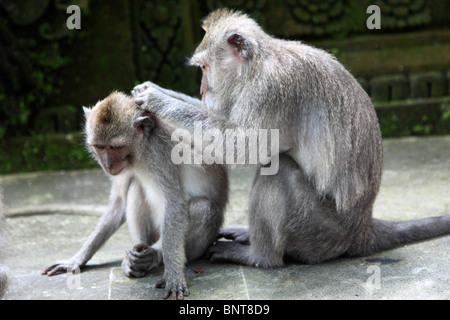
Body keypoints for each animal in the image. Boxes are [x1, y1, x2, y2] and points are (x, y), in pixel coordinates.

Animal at [41, 90, 229, 300]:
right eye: (100, 146)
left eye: (115, 147)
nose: (108, 165)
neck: (139, 152)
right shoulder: (124, 167)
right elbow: (120, 202)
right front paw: (77, 259)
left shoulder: (160, 154)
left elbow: (175, 203)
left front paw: (173, 276)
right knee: (135, 186)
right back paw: (135, 258)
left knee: (204, 208)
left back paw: (154, 255)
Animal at [134, 9, 450, 268]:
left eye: (204, 68)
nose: (202, 90)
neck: (256, 65)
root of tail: (362, 227)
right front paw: (153, 89)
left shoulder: (270, 90)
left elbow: (243, 147)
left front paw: (158, 100)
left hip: (320, 233)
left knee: (279, 168)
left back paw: (261, 257)